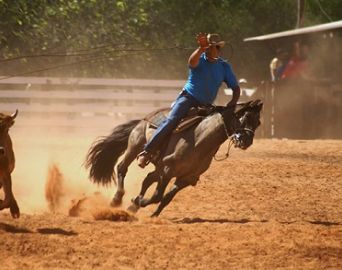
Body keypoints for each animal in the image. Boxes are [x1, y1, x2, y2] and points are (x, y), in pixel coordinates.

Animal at [85, 100, 262, 216]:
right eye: (244, 117)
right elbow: (157, 196)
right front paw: (138, 201)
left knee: (148, 178)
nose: (247, 141)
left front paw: (151, 213)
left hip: (158, 166)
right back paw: (117, 200)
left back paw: (132, 208)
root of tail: (144, 118)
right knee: (122, 168)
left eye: (258, 122)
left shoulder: (188, 178)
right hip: (135, 147)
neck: (199, 140)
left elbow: (166, 198)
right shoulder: (168, 171)